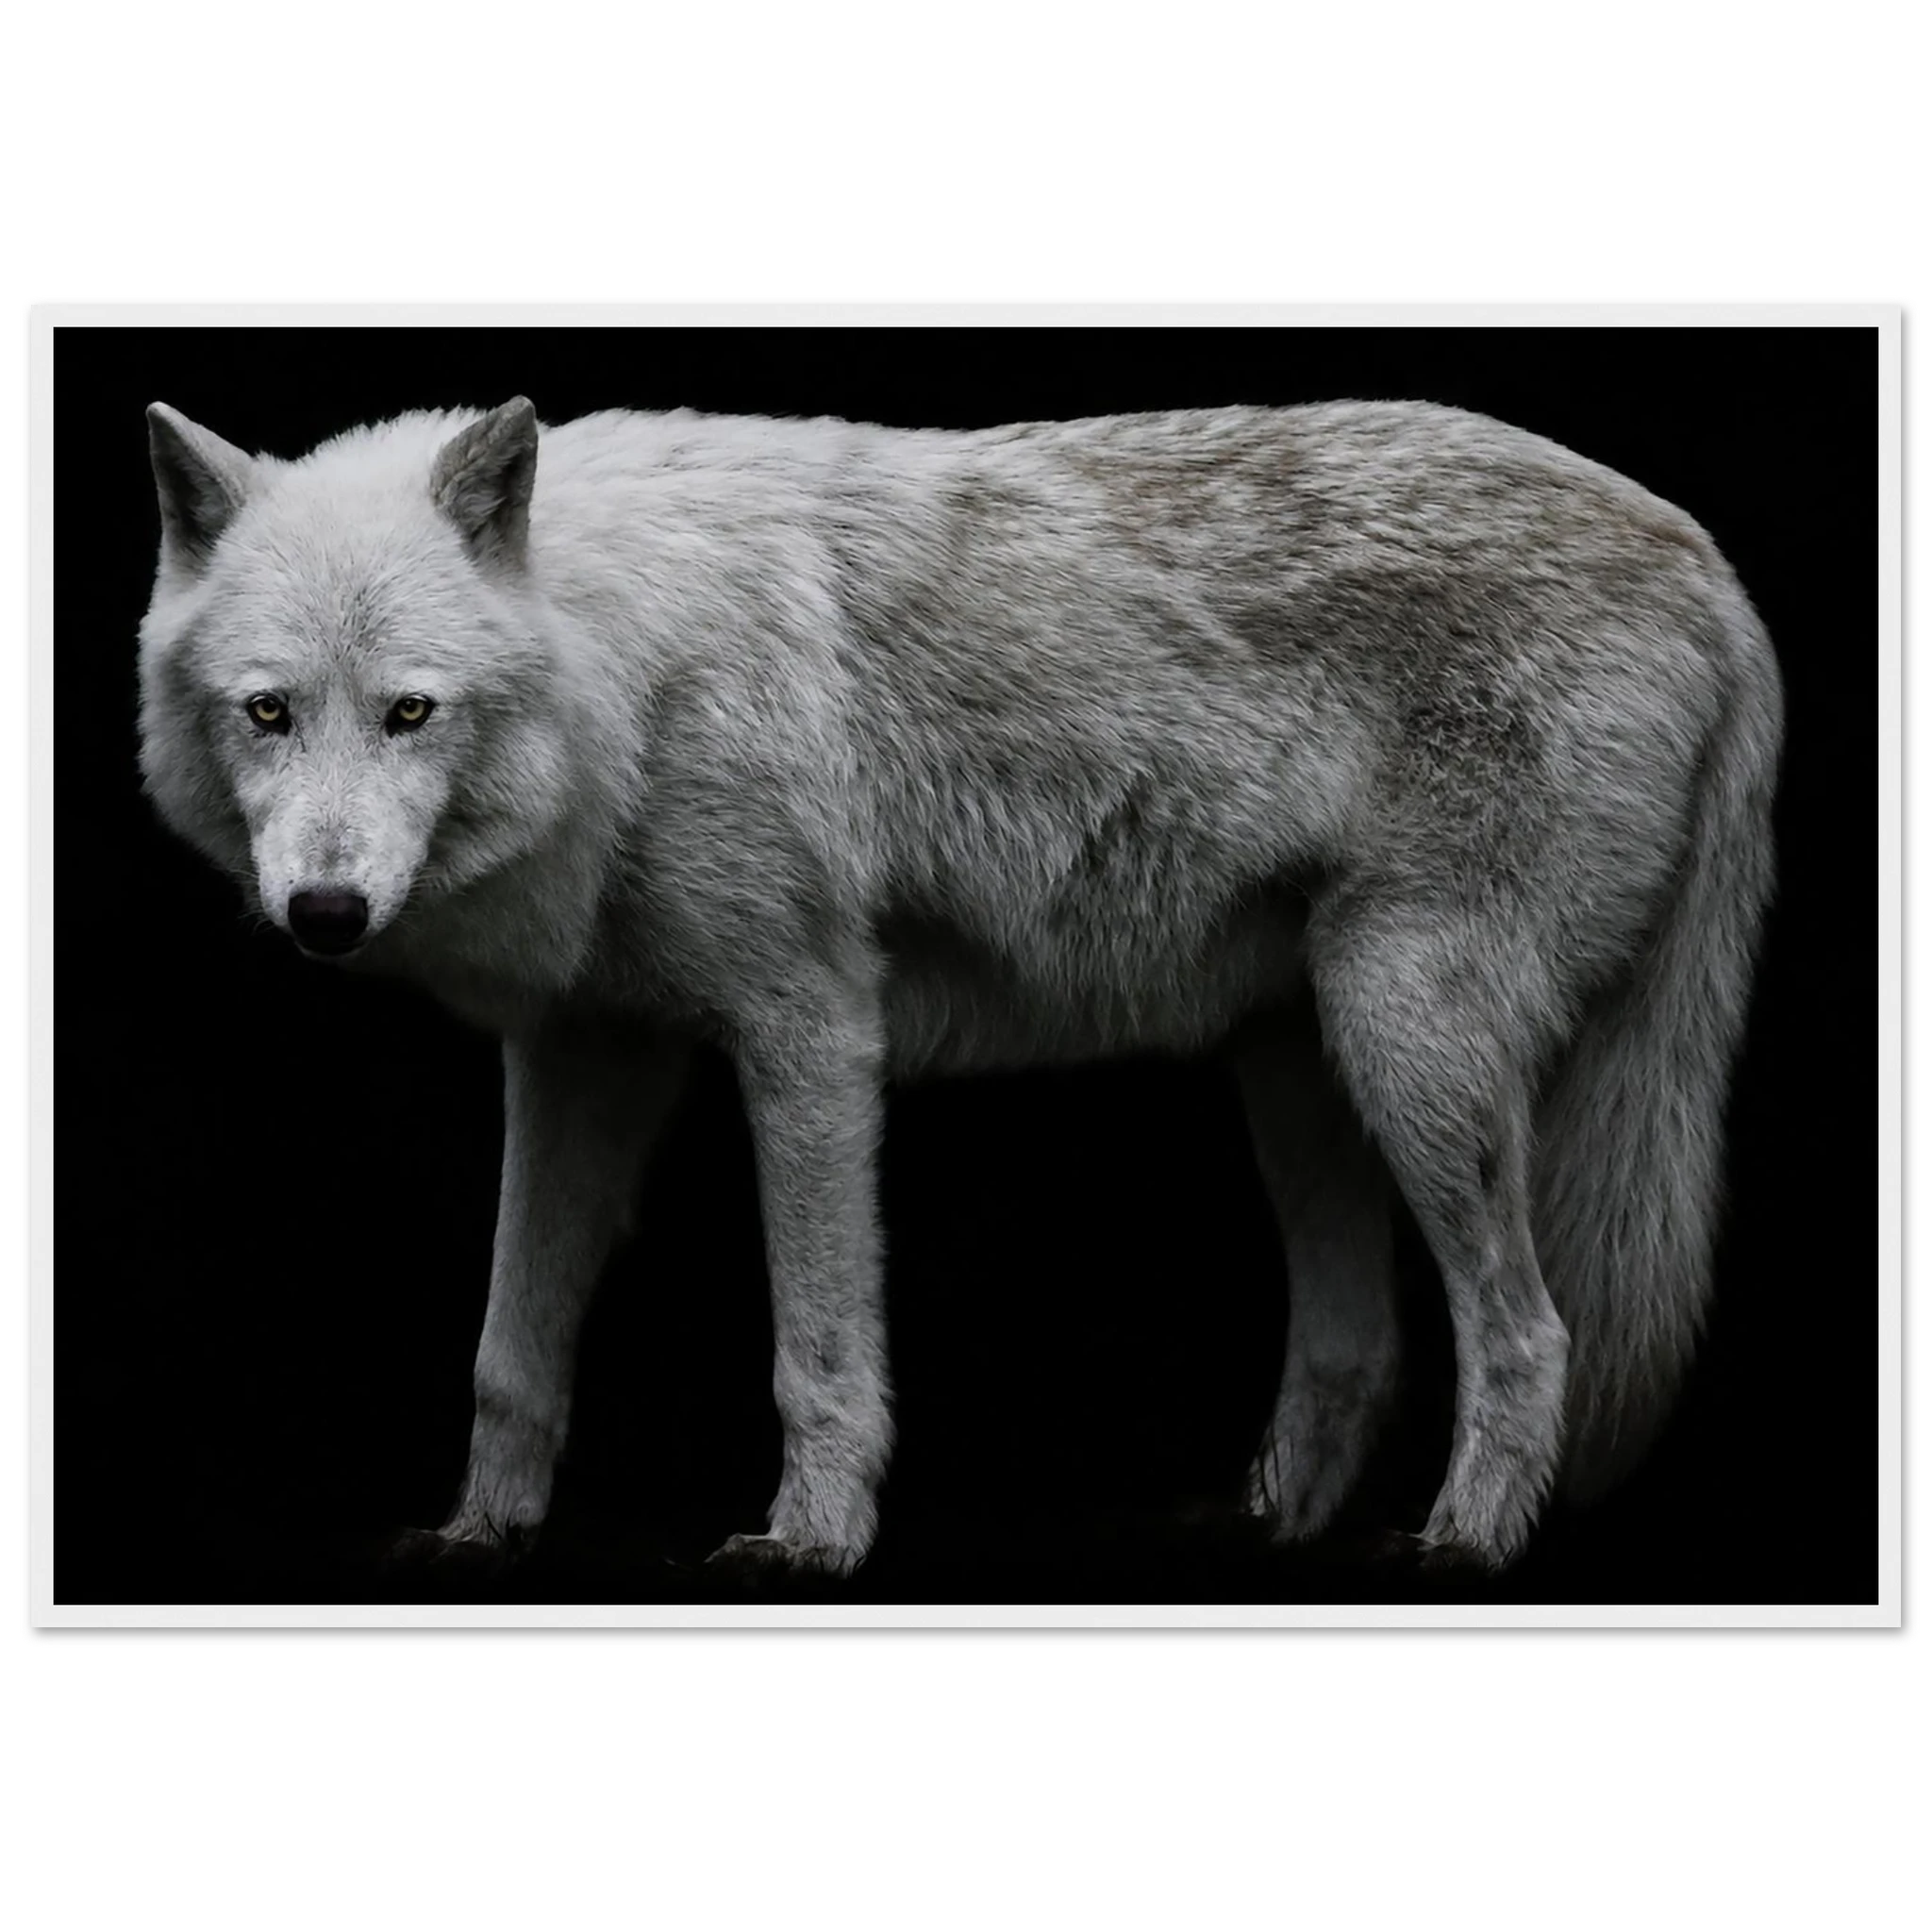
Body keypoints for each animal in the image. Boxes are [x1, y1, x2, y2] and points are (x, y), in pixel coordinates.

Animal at [136, 394, 1783, 1577]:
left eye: (410, 713)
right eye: (269, 713)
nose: (326, 911)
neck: (626, 678)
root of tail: (1709, 559)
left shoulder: (807, 1027)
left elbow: (817, 1347)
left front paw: (809, 1543)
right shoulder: (577, 1055)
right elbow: (507, 1350)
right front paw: (482, 1535)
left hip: (1408, 1041)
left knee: (1530, 1330)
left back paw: (1462, 1548)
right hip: (1299, 1062)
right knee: (1357, 1346)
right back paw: (1271, 1526)